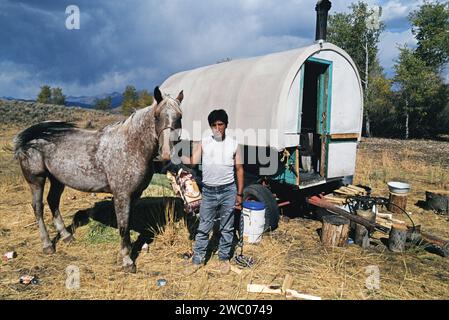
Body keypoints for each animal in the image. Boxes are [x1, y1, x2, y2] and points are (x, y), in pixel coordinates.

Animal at [14, 87, 183, 272]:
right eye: (157, 116)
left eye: (179, 117)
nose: (167, 153)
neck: (130, 146)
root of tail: (33, 135)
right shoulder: (122, 195)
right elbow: (123, 226)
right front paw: (127, 261)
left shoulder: (135, 195)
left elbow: (127, 223)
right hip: (36, 180)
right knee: (38, 207)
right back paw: (47, 245)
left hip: (57, 179)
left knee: (53, 202)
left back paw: (66, 236)